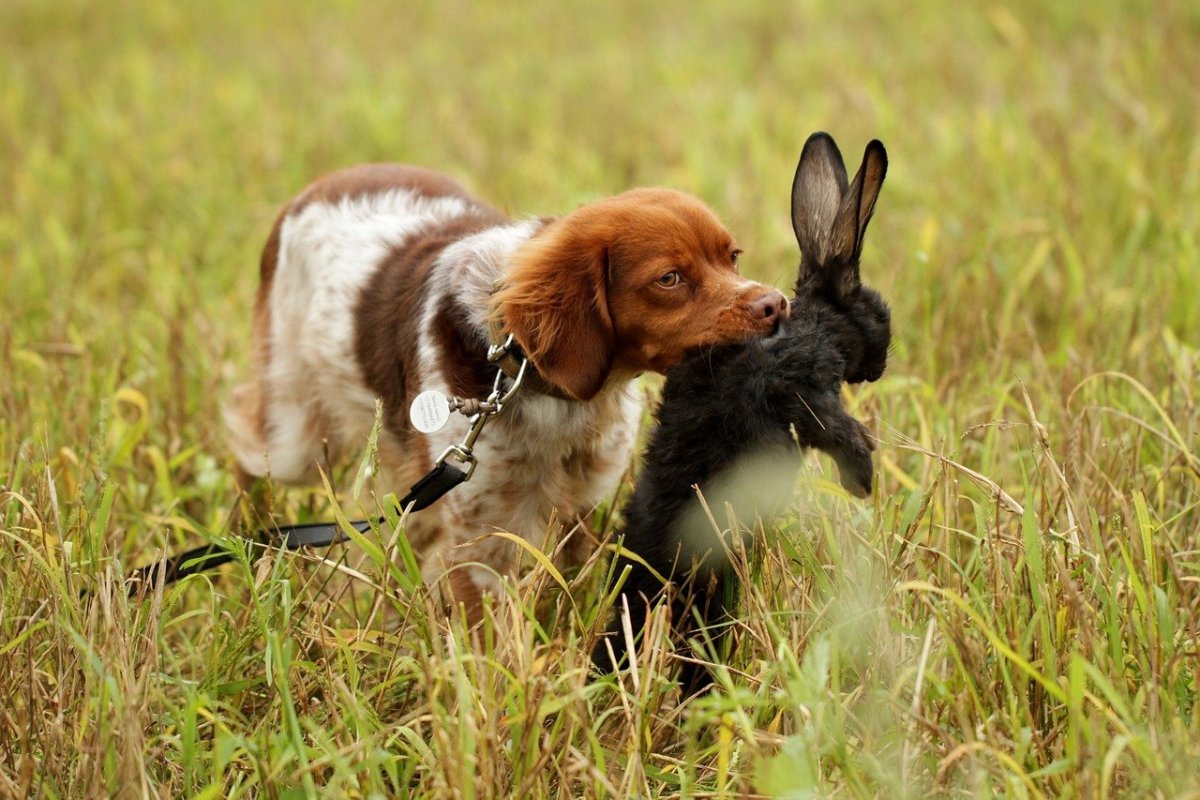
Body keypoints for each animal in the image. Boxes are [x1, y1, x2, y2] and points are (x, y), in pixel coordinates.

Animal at [224, 165, 787, 618]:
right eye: (669, 279)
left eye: (732, 257)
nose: (776, 304)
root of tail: (319, 185)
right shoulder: (480, 537)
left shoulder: (580, 507)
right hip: (294, 432)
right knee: (245, 436)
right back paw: (242, 542)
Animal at [592, 133, 892, 695]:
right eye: (879, 315)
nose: (881, 366)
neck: (818, 326)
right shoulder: (800, 390)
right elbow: (835, 427)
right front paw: (862, 479)